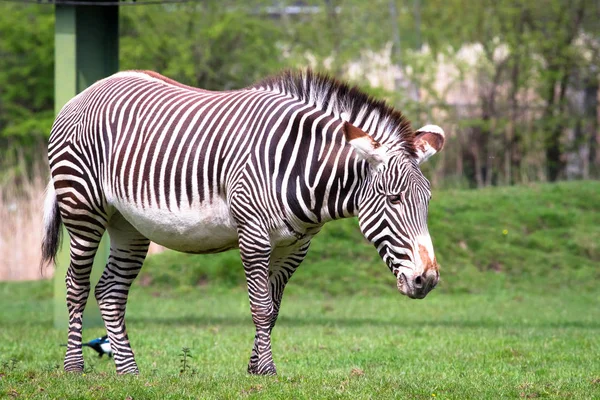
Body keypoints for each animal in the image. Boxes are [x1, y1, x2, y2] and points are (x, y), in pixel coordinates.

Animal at [41, 69, 446, 376]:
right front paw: (266, 371)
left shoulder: (295, 246)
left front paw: (254, 368)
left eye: (426, 201)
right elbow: (260, 307)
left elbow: (274, 308)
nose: (426, 280)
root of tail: (86, 91)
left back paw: (130, 372)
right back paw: (74, 367)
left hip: (129, 225)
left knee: (110, 290)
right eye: (394, 199)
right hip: (83, 208)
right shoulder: (253, 236)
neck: (301, 169)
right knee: (76, 285)